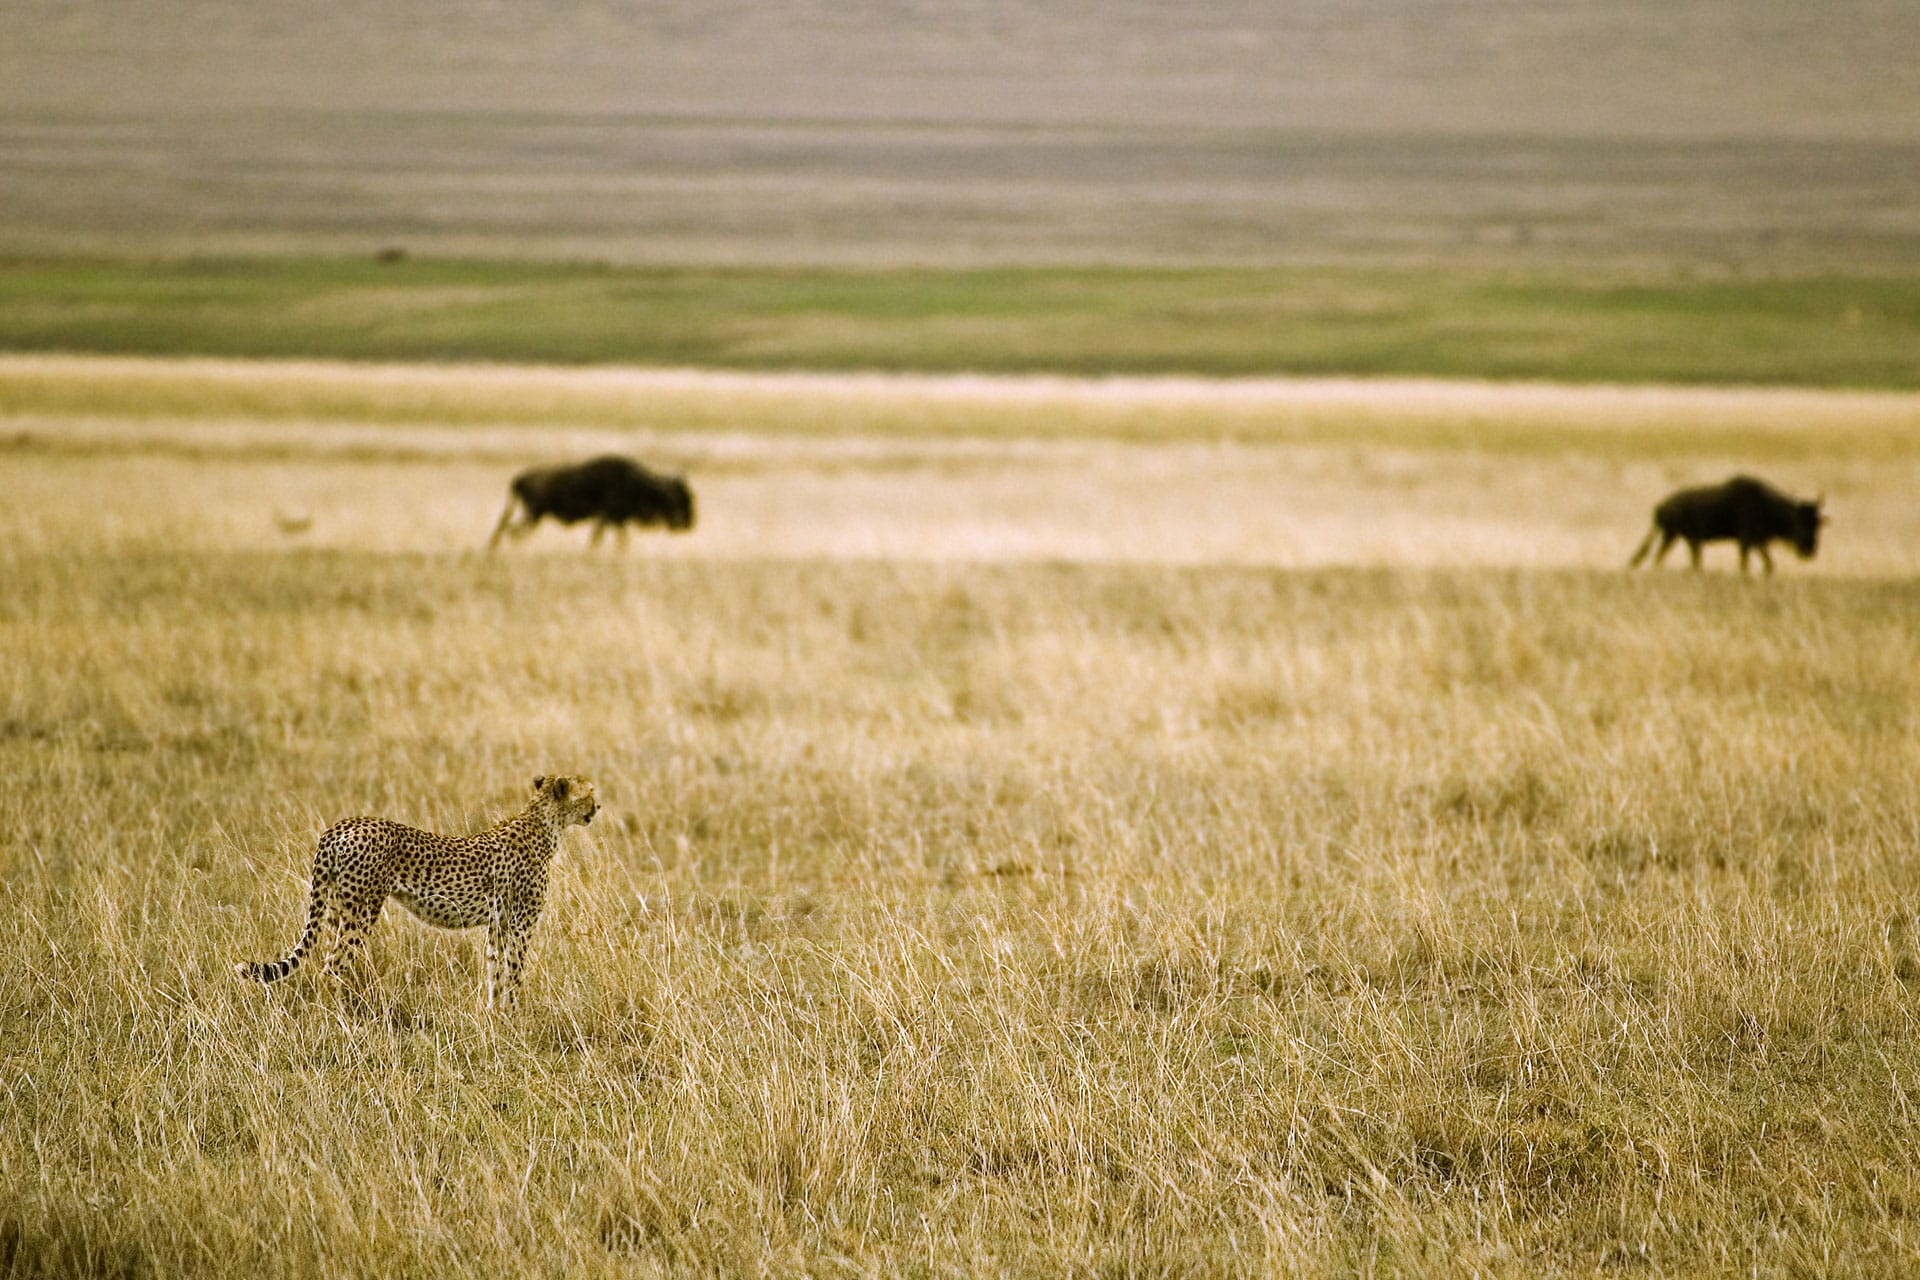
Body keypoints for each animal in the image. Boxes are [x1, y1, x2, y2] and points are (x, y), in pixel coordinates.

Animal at [235, 774, 598, 1009]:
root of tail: (342, 825)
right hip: (361, 911)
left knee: (326, 960)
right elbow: (514, 972)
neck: (543, 823)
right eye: (590, 792)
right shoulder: (521, 924)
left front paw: (496, 1016)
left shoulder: (499, 924)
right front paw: (515, 1017)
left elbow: (496, 973)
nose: (598, 808)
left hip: (337, 909)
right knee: (331, 967)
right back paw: (339, 1020)